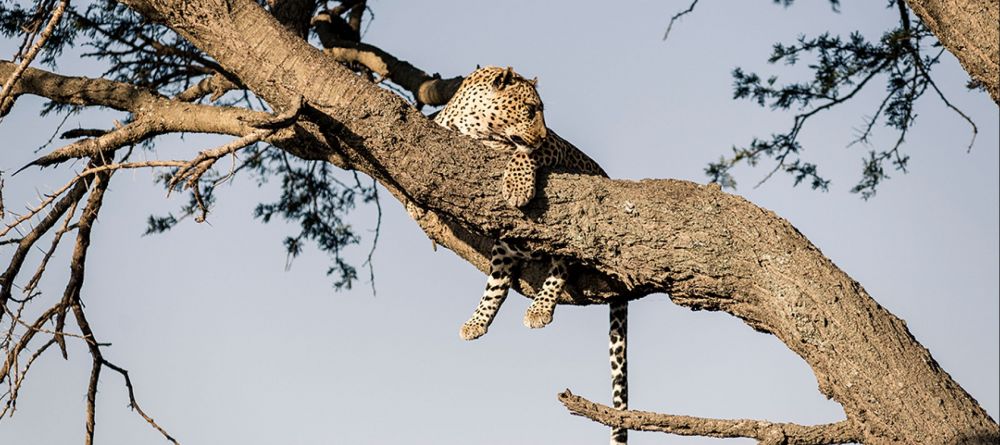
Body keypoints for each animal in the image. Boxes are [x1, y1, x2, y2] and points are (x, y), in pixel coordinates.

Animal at [432, 67, 632, 444]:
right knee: (497, 282)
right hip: (505, 246)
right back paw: (477, 321)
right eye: (529, 110)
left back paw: (540, 309)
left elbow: (522, 154)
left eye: (541, 113)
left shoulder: (553, 149)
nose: (540, 135)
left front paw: (517, 186)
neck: (473, 127)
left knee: (561, 265)